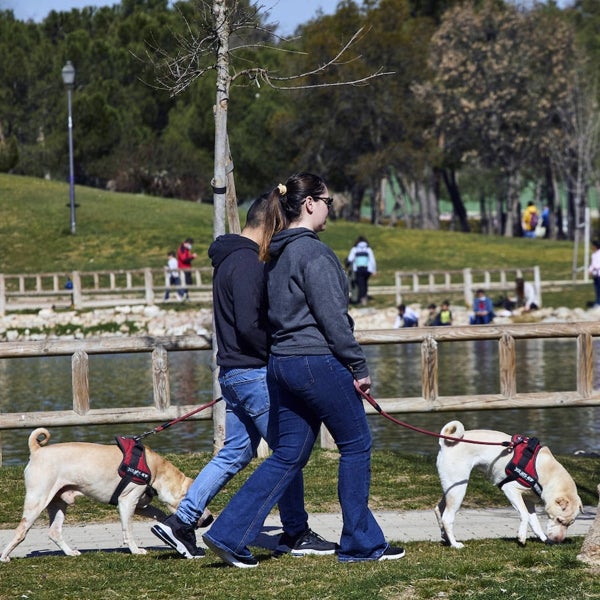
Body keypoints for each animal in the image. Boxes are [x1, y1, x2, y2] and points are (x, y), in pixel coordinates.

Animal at [0, 426, 195, 564]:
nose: (203, 520)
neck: (155, 468)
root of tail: (37, 450)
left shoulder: (140, 504)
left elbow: (159, 513)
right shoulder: (127, 502)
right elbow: (128, 530)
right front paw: (135, 550)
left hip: (58, 502)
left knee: (54, 532)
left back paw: (70, 552)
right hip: (38, 499)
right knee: (21, 530)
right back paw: (5, 556)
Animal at [434, 422, 584, 548]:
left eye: (570, 524)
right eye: (559, 520)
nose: (558, 541)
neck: (549, 474)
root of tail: (445, 442)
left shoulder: (529, 501)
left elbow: (534, 522)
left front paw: (543, 538)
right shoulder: (510, 489)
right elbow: (524, 515)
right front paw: (522, 537)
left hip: (451, 487)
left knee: (439, 509)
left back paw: (445, 538)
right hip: (458, 488)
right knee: (447, 517)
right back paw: (454, 544)